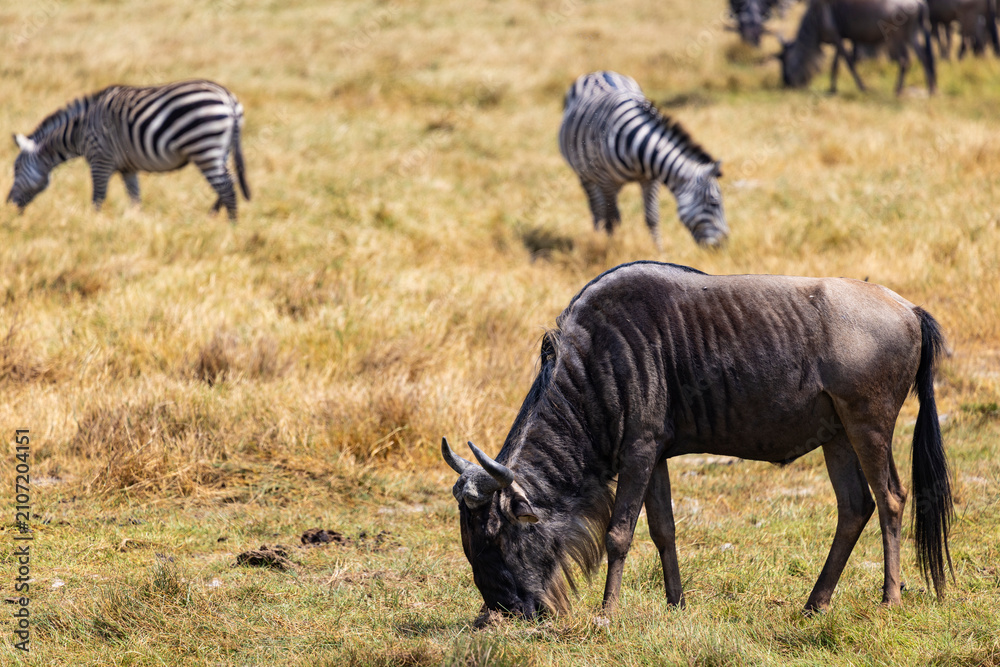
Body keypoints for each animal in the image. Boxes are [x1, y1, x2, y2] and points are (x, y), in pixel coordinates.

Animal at [7, 80, 250, 220]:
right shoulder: (127, 167)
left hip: (204, 146)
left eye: (16, 169)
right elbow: (135, 197)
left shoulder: (100, 158)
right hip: (220, 150)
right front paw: (136, 223)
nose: (8, 205)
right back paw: (211, 218)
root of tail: (228, 99)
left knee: (227, 188)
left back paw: (230, 226)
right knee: (227, 182)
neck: (78, 131)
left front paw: (91, 226)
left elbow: (98, 197)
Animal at [558, 72, 728, 249]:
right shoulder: (607, 181)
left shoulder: (651, 180)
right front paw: (611, 247)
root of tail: (599, 72)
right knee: (597, 207)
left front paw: (659, 250)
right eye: (714, 203)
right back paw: (598, 235)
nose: (724, 244)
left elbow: (652, 217)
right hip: (585, 175)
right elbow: (612, 218)